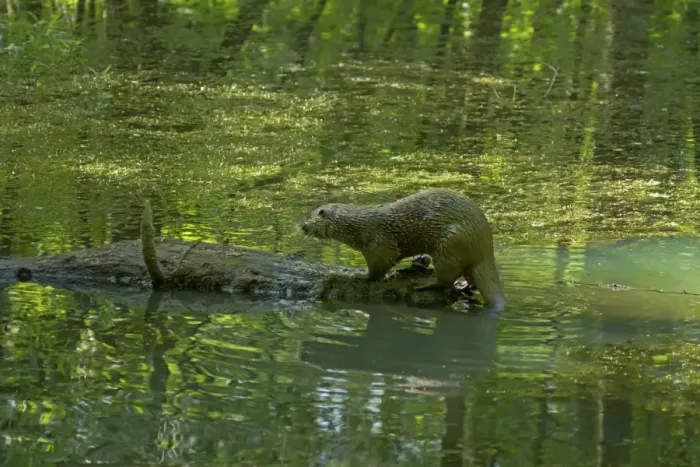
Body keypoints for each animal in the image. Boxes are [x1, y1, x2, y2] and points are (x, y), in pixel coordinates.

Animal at [299, 188, 506, 311]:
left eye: (309, 217)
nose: (302, 226)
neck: (358, 226)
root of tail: (485, 247)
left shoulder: (378, 244)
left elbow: (377, 269)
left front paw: (357, 275)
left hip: (449, 246)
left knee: (445, 280)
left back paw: (424, 285)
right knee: (468, 278)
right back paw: (462, 285)